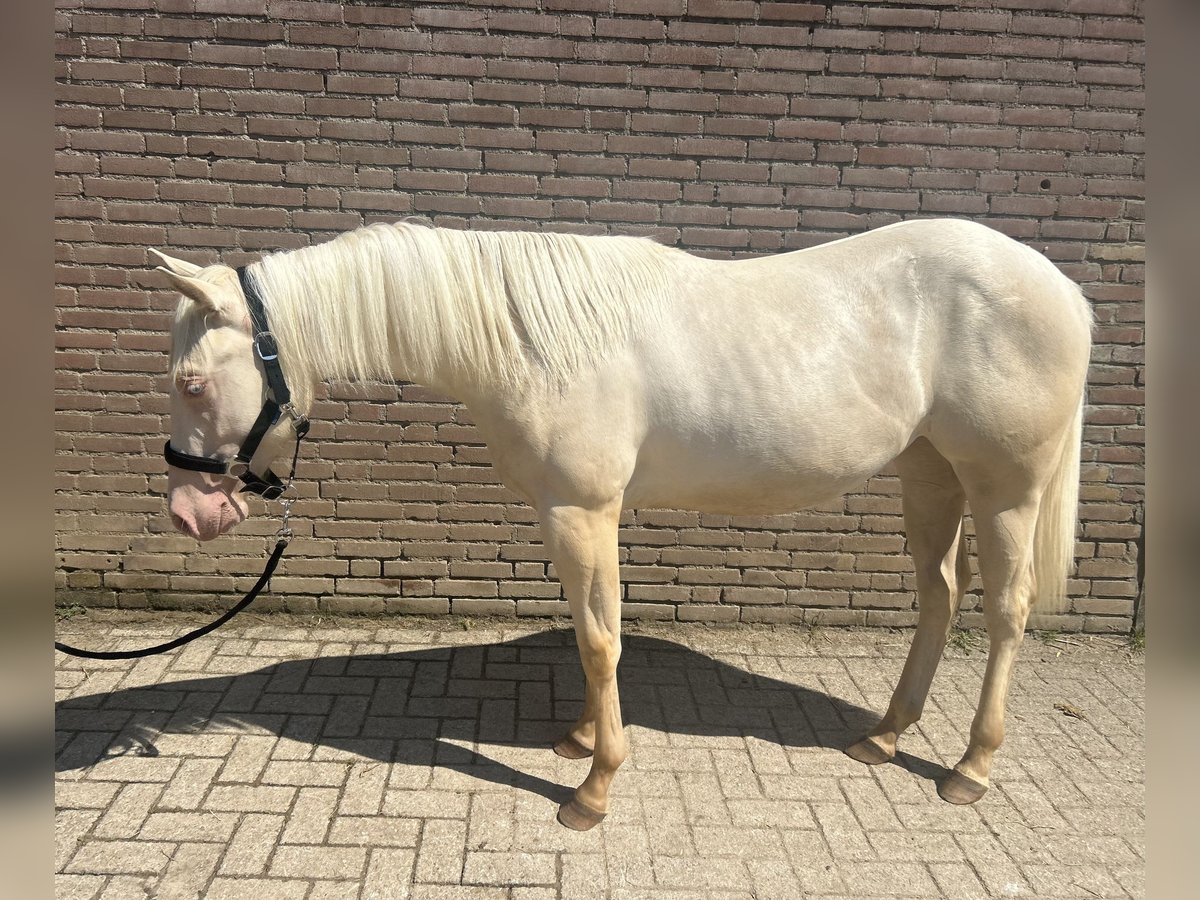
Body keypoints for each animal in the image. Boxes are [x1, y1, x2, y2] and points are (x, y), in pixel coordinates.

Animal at [154, 218, 1094, 830]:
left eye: (192, 381)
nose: (190, 512)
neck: (526, 339)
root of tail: (1060, 289)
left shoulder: (582, 510)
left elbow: (600, 639)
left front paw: (594, 789)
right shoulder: (580, 514)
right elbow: (590, 628)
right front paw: (579, 741)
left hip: (1005, 489)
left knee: (1004, 611)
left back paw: (970, 769)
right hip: (930, 476)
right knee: (940, 596)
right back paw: (886, 737)